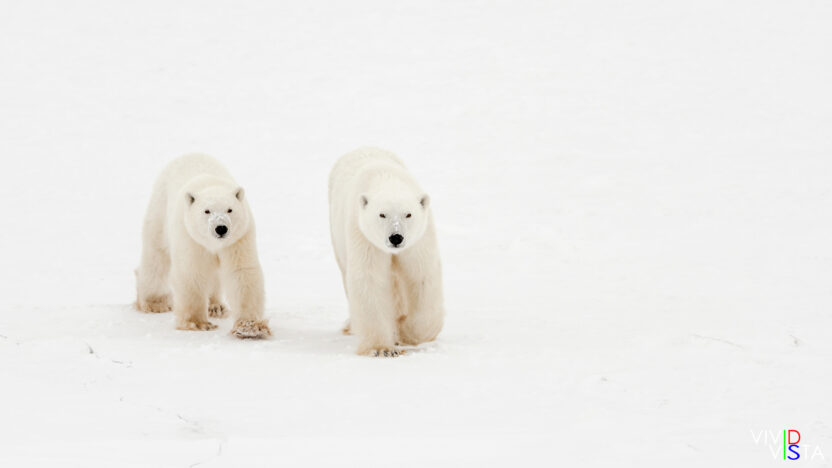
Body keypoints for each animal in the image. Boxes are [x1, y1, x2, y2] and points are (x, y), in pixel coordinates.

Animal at [135, 153, 271, 339]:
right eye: (207, 211)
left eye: (230, 210)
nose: (221, 228)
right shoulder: (190, 236)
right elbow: (192, 271)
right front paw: (198, 323)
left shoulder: (239, 238)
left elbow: (241, 272)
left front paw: (250, 327)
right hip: (159, 210)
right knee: (156, 259)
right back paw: (154, 302)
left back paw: (216, 306)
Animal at [328, 147, 445, 357]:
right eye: (382, 214)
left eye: (408, 214)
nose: (396, 237)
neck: (386, 178)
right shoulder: (363, 234)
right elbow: (370, 280)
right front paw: (382, 348)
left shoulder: (419, 240)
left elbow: (421, 277)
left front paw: (406, 332)